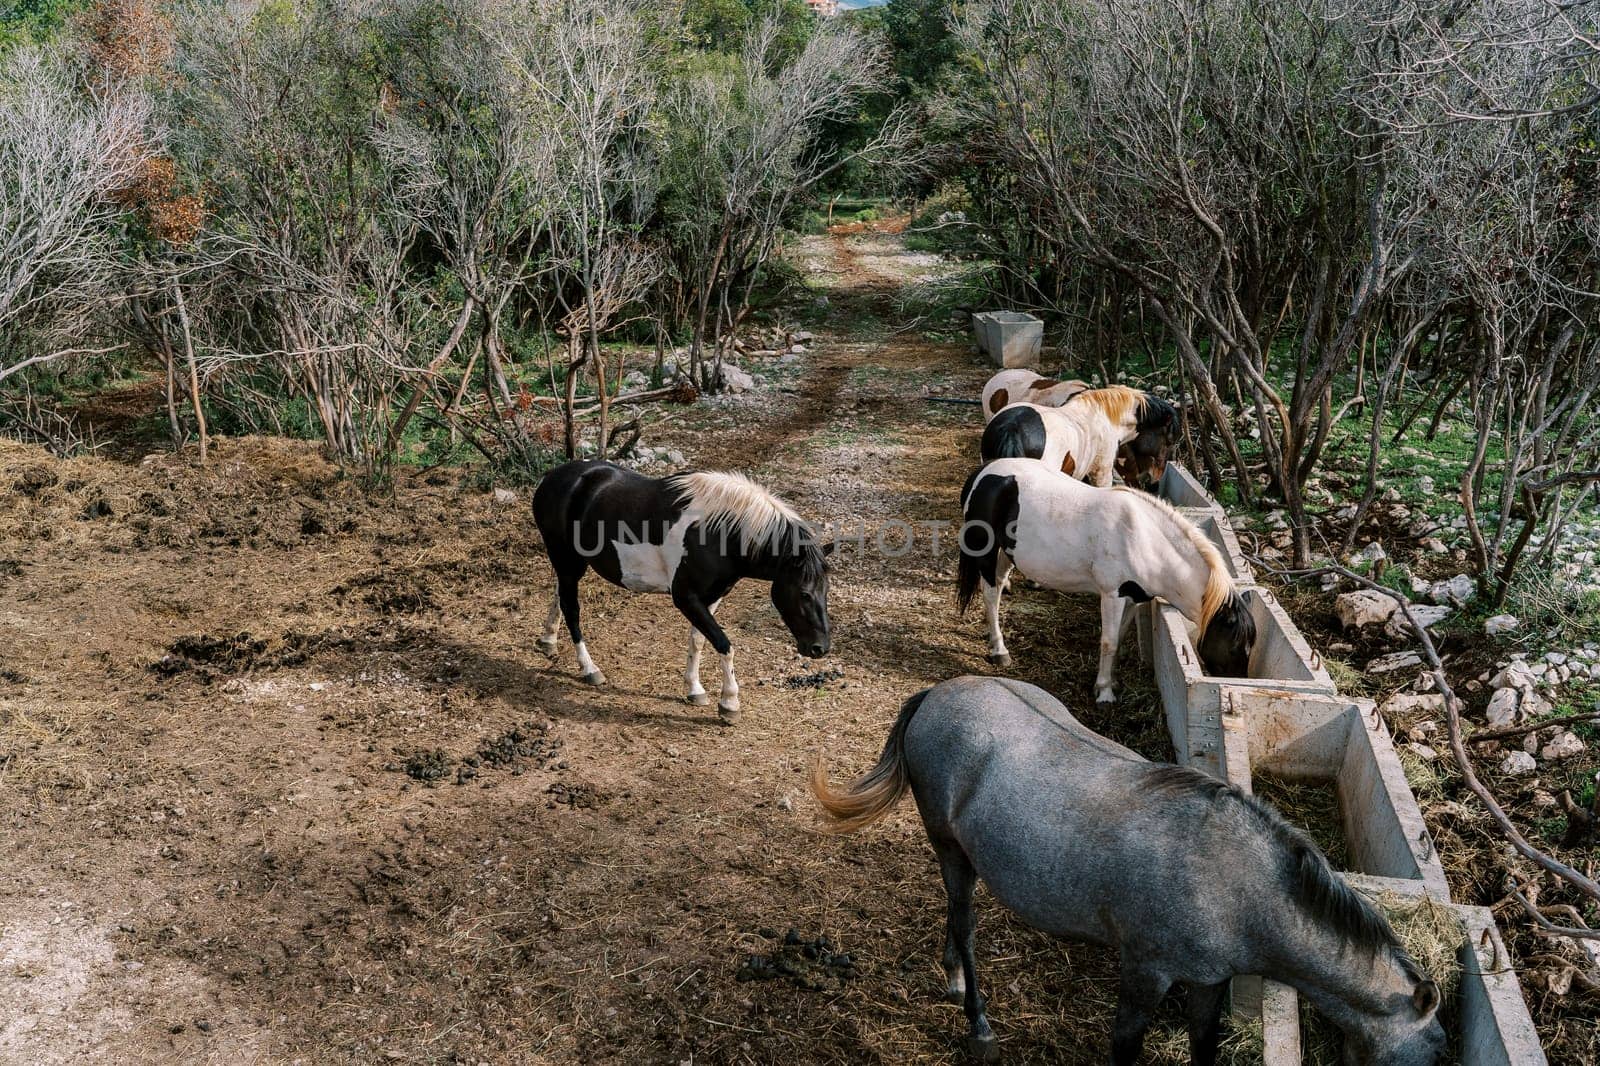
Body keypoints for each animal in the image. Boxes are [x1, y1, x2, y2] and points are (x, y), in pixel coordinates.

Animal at [537, 457, 838, 723]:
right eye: (804, 593)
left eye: (825, 591)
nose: (820, 648)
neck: (719, 533)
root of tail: (552, 477)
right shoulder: (686, 598)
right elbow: (724, 645)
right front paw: (729, 703)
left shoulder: (711, 597)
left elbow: (699, 641)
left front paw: (695, 689)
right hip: (567, 560)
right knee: (572, 609)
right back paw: (589, 668)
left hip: (570, 564)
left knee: (560, 595)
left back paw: (548, 640)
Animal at [812, 675, 1452, 1062]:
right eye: (1441, 1051)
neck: (1240, 885)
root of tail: (935, 695)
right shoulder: (1145, 974)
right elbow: (1125, 1046)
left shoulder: (1208, 982)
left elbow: (1202, 1045)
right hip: (951, 851)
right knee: (965, 925)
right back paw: (979, 1024)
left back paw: (952, 979)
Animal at [953, 454, 1254, 697]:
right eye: (1236, 645)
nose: (1237, 680)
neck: (1145, 539)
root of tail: (984, 472)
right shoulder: (1112, 594)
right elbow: (1108, 642)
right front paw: (1104, 692)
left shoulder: (1134, 597)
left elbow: (1118, 638)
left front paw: (1113, 681)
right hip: (987, 551)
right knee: (991, 594)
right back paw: (999, 650)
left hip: (1007, 553)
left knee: (999, 584)